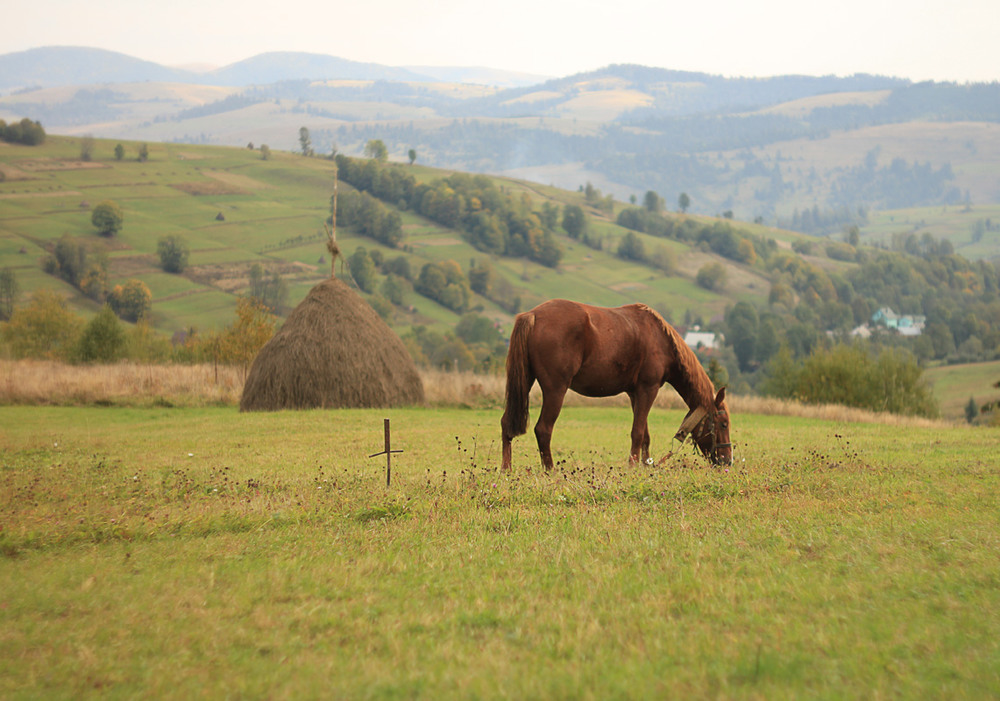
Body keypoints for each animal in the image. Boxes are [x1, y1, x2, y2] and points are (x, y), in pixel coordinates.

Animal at [504, 300, 732, 470]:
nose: (728, 461)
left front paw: (645, 465)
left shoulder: (635, 393)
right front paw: (632, 466)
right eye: (723, 424)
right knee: (543, 429)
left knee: (506, 423)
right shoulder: (648, 389)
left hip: (525, 382)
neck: (661, 339)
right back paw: (550, 470)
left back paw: (507, 469)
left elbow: (645, 434)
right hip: (555, 390)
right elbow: (637, 432)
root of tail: (532, 315)